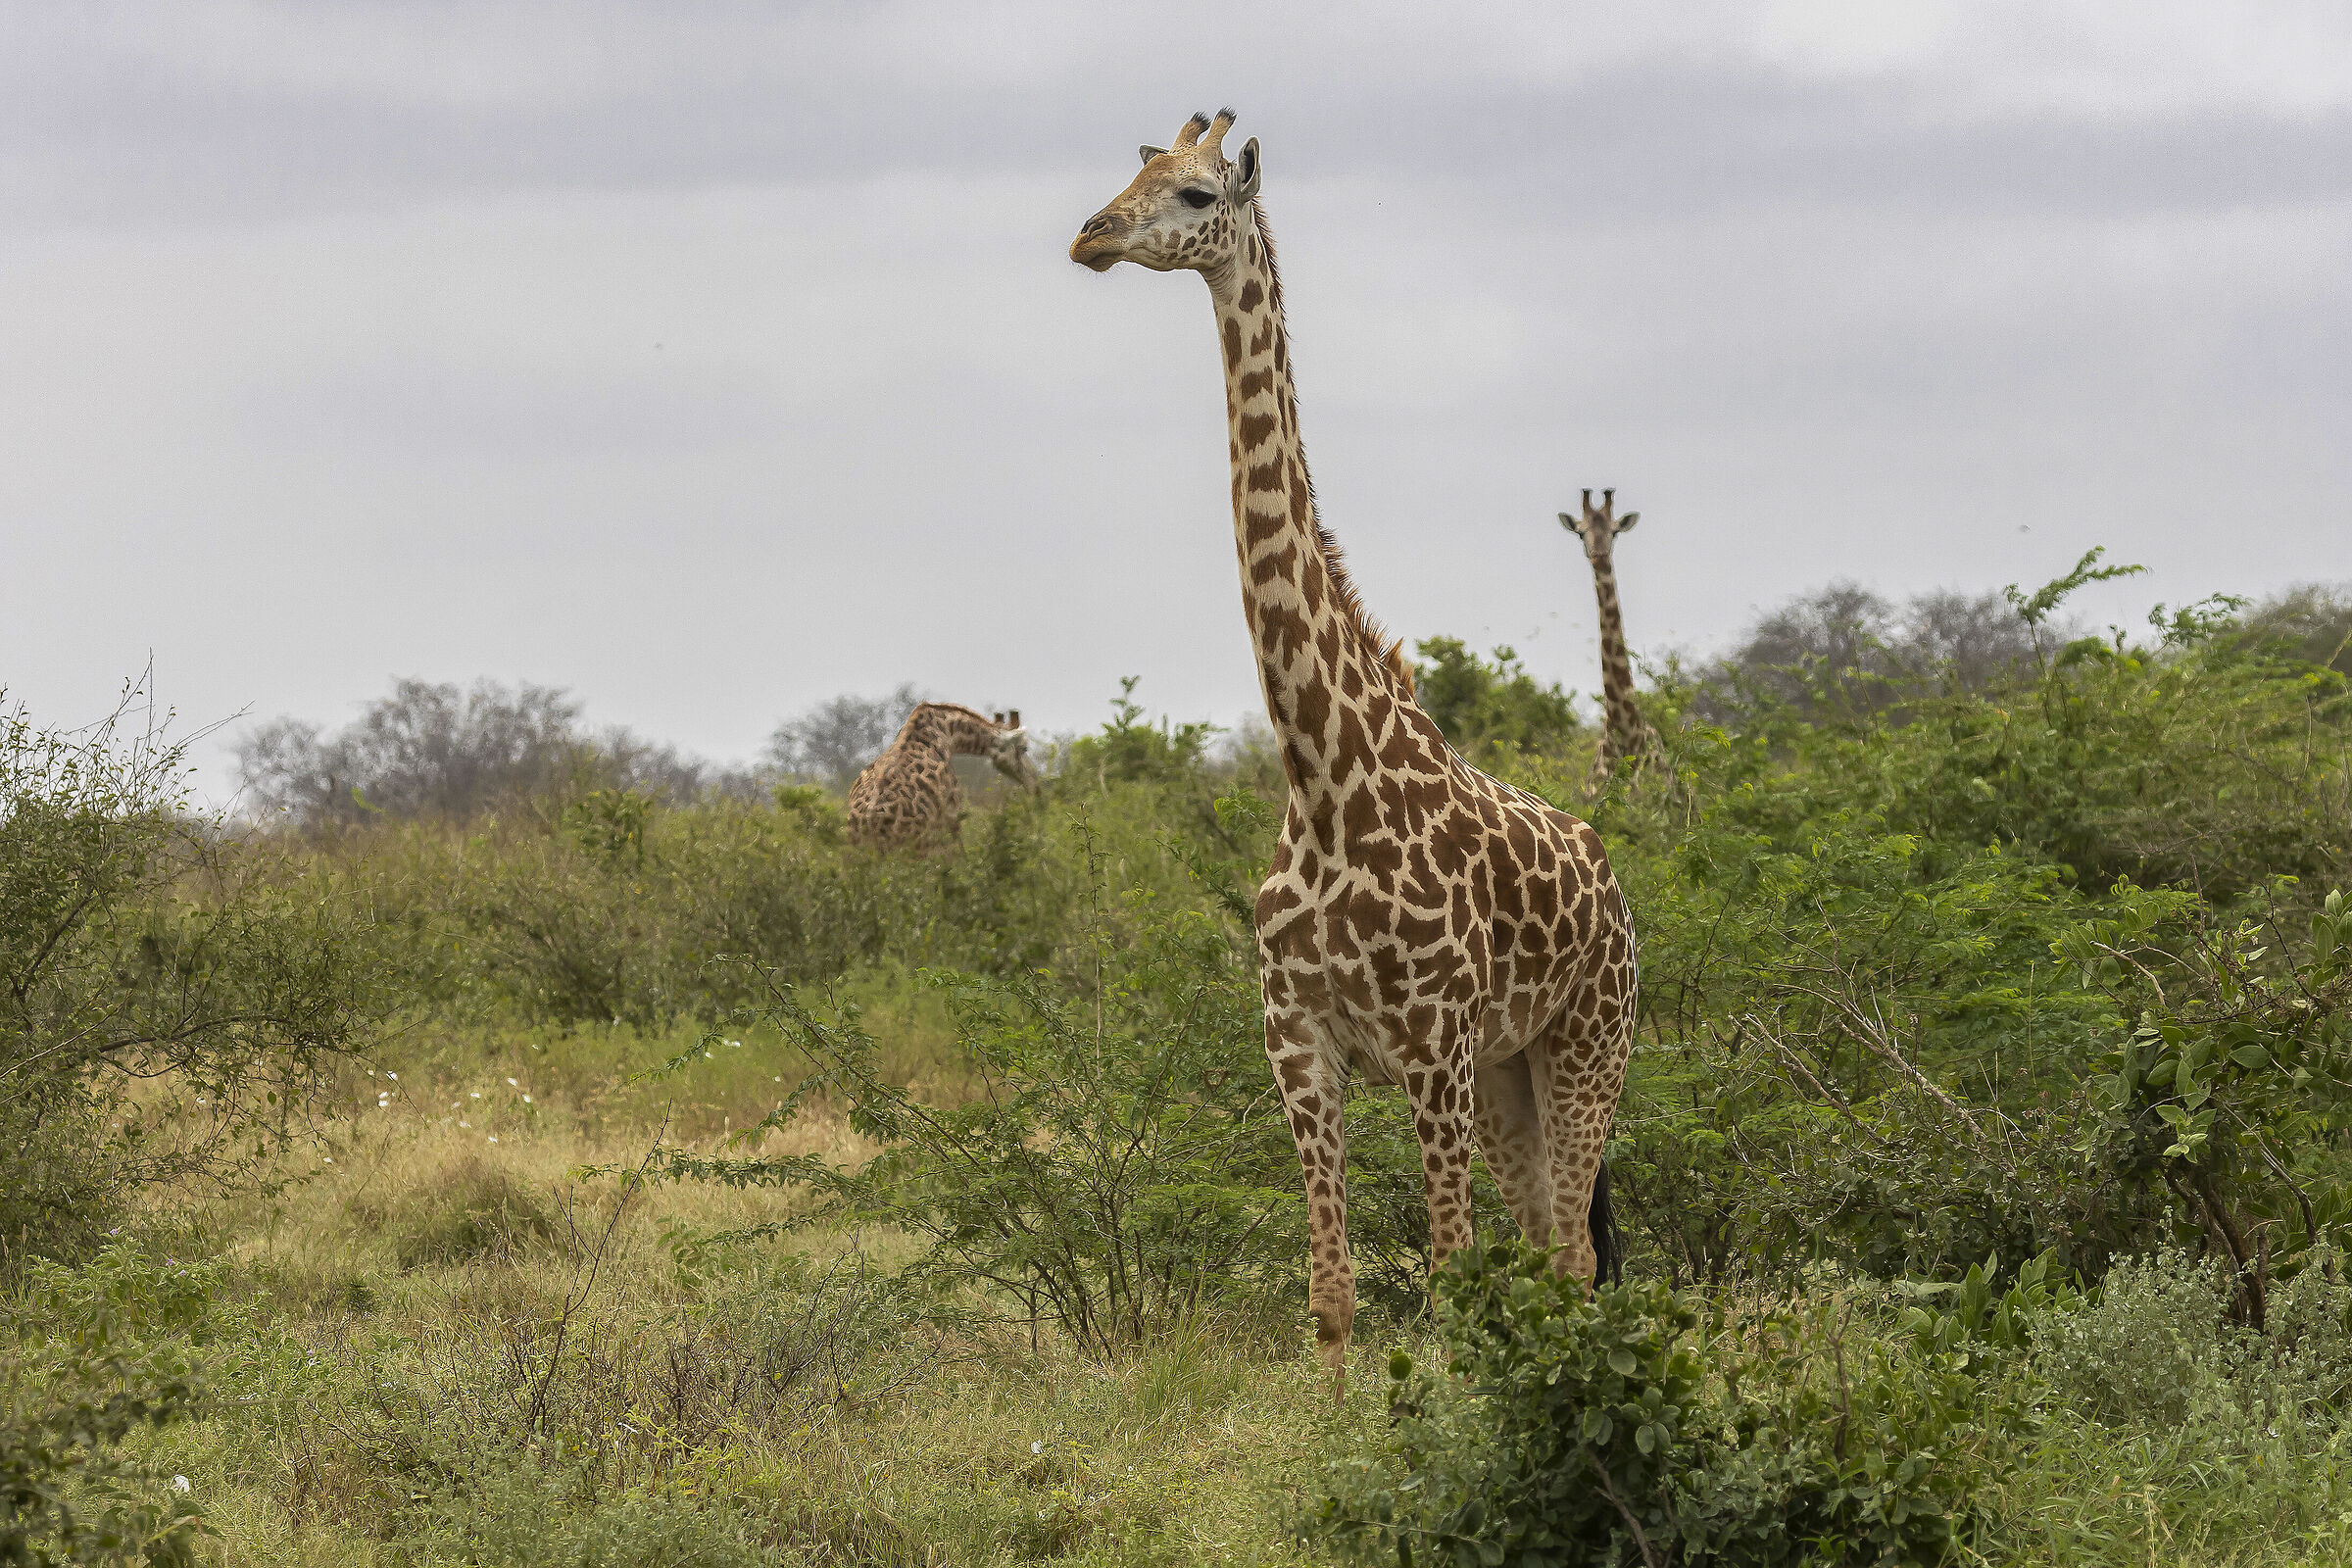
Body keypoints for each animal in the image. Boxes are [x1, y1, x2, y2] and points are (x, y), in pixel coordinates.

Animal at [844, 703, 1031, 851]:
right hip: (915, 845)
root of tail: (869, 822)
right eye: (1024, 748)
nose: (1033, 784)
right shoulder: (952, 814)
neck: (948, 732)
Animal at [1072, 110, 1636, 1390]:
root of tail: (1614, 879)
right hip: (1510, 1072)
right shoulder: (1299, 1041)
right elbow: (1332, 1295)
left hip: (1586, 1041)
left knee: (1573, 1254)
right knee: (1549, 1241)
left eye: (1192, 194)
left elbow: (1447, 1276)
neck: (1324, 777)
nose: (1090, 235)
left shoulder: (1429, 1040)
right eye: (1129, 175)